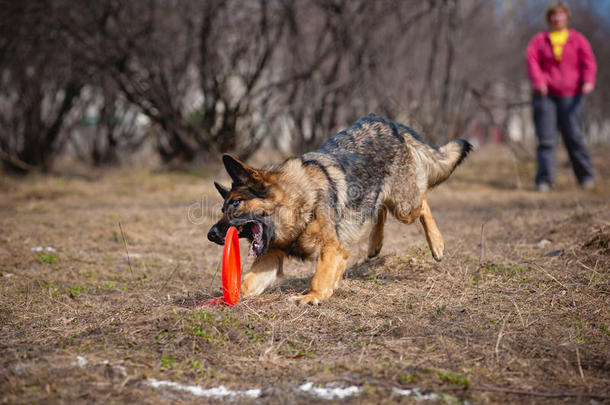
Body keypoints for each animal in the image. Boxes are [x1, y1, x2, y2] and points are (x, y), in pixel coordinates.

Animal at [208, 113, 470, 304]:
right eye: (222, 208)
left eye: (236, 203)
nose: (210, 235)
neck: (297, 203)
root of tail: (390, 123)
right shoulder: (270, 257)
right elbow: (248, 282)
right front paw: (224, 298)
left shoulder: (331, 247)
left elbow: (320, 276)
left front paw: (312, 296)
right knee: (379, 208)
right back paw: (375, 244)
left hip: (404, 207)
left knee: (421, 202)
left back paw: (437, 244)